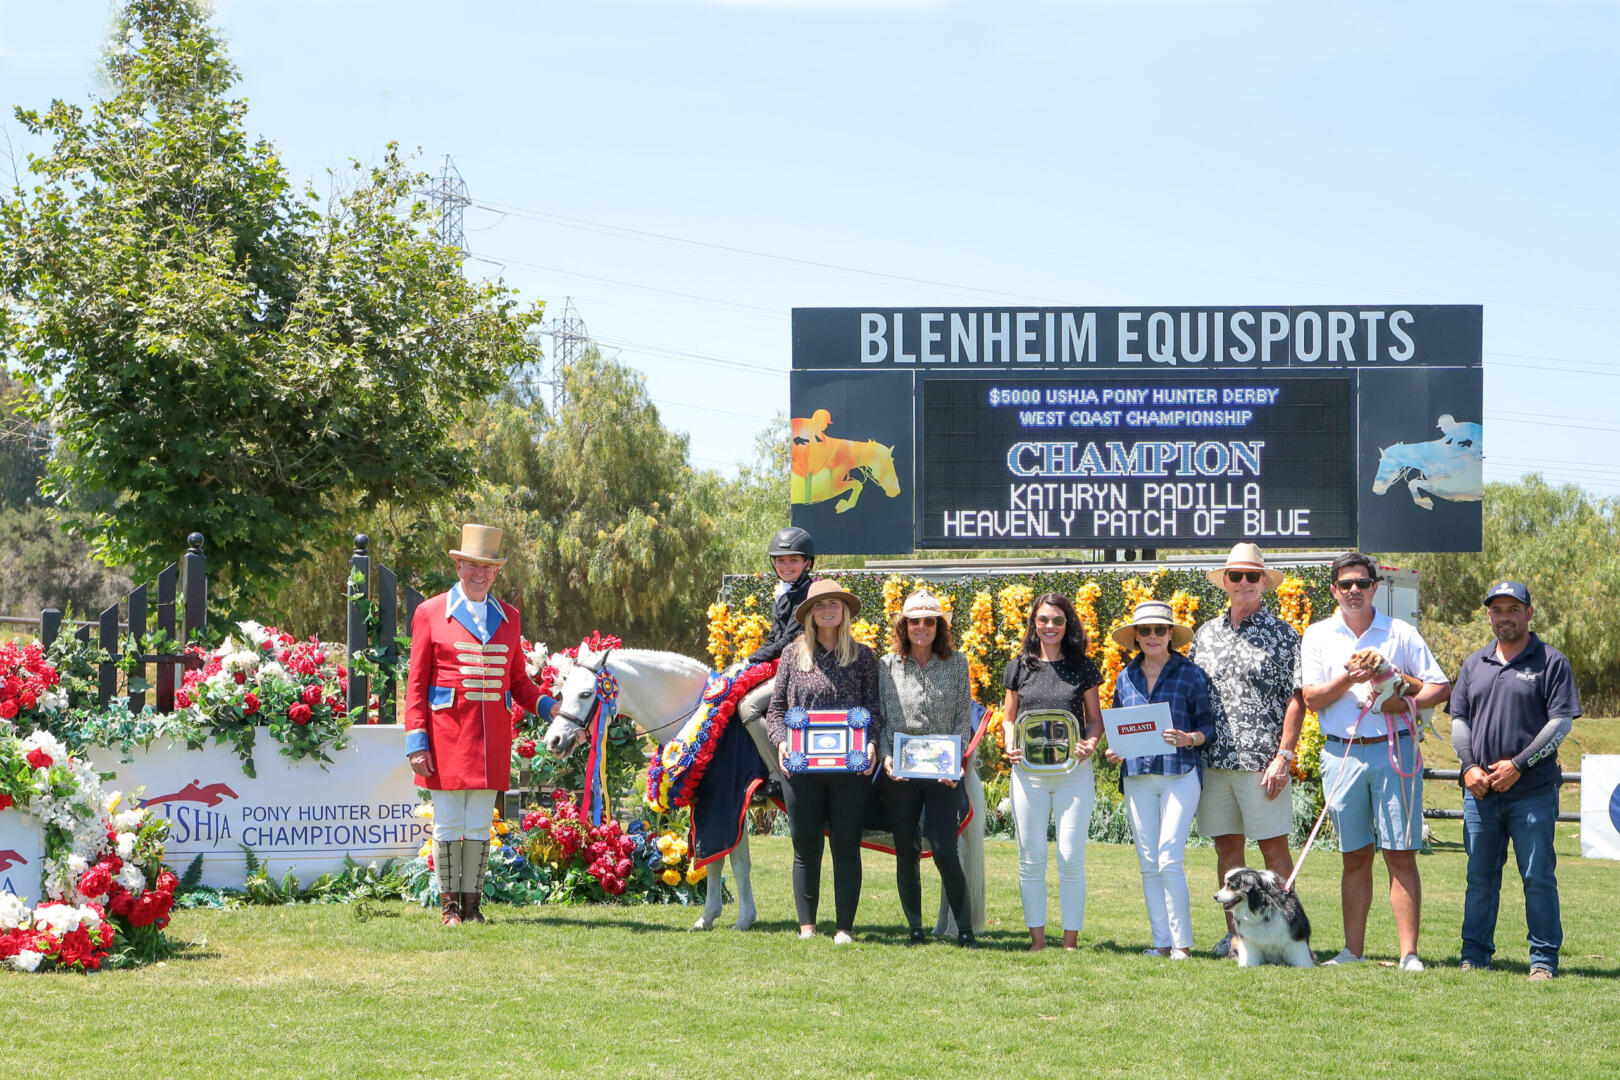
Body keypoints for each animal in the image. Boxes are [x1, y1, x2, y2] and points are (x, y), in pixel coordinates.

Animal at [547, 641, 984, 939]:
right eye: (562, 691)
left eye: (587, 694)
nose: (554, 741)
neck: (702, 717)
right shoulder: (721, 806)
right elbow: (724, 861)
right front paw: (722, 916)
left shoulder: (724, 803)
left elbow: (725, 861)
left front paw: (729, 918)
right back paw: (943, 926)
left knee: (953, 859)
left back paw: (949, 928)